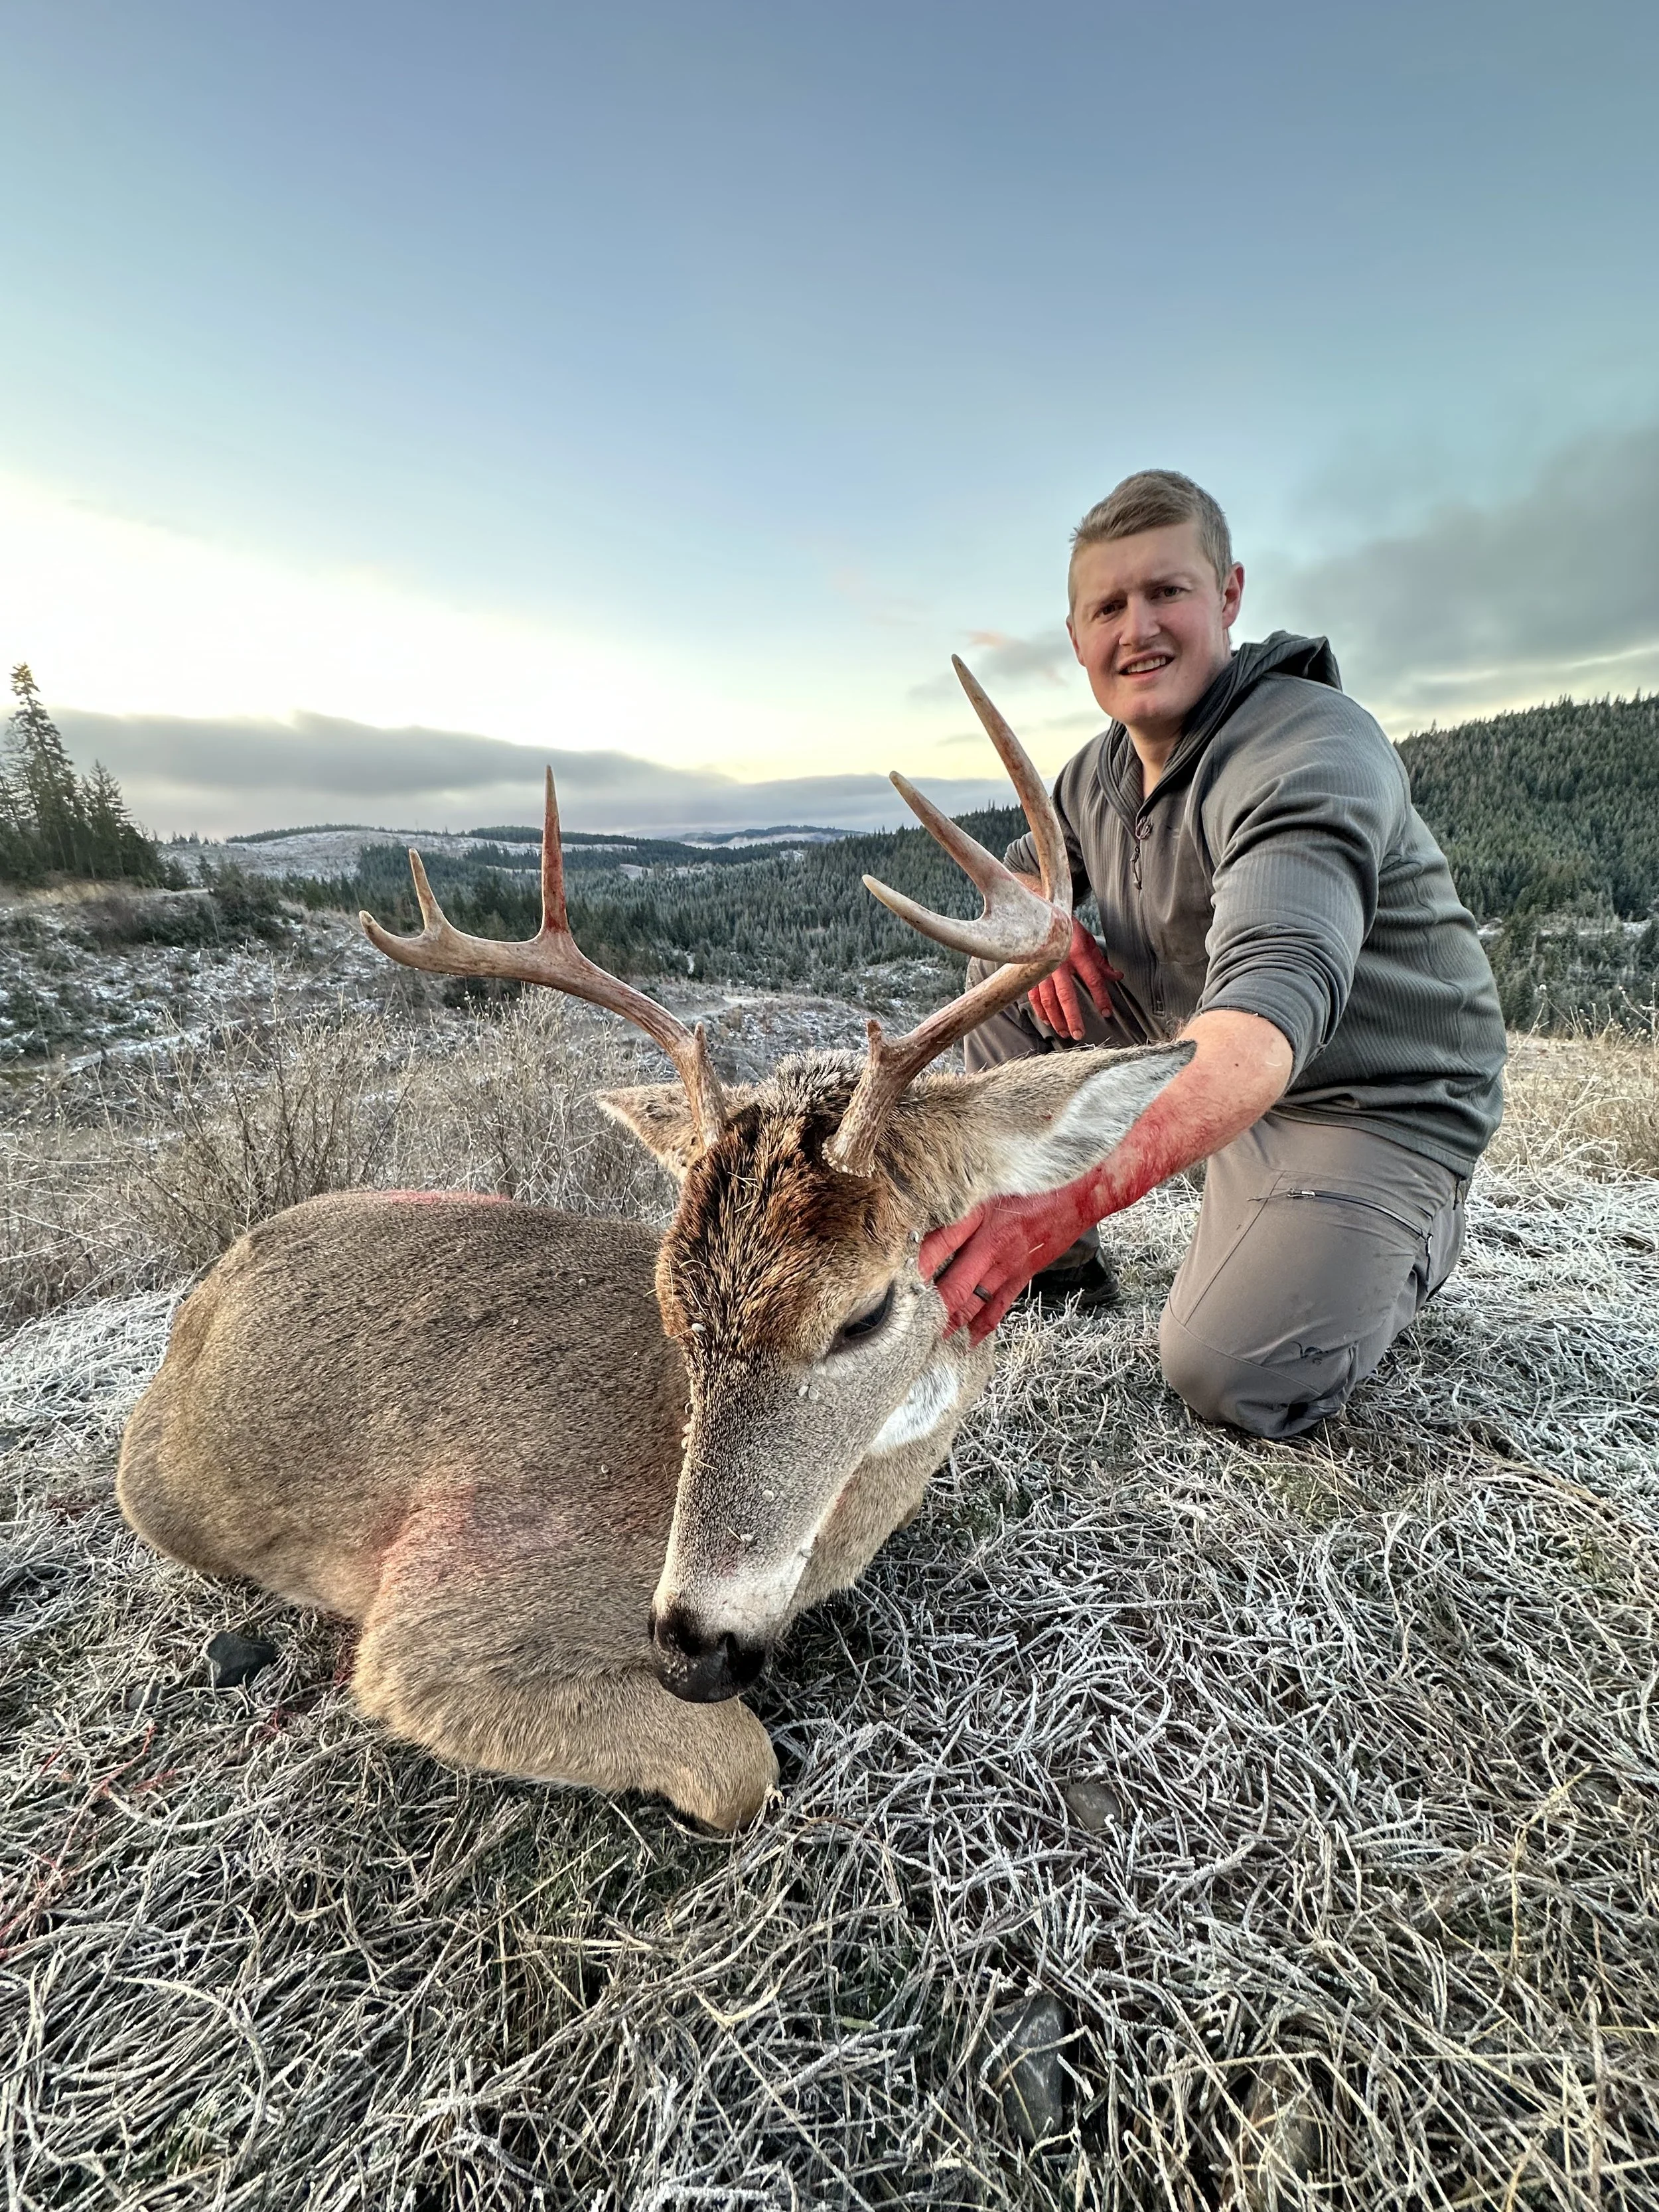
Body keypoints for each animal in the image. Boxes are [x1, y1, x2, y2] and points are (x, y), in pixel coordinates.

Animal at [116, 661, 1191, 1830]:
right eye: (672, 1308)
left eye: (863, 1312)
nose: (692, 1648)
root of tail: (198, 1301)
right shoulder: (432, 1623)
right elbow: (741, 1767)